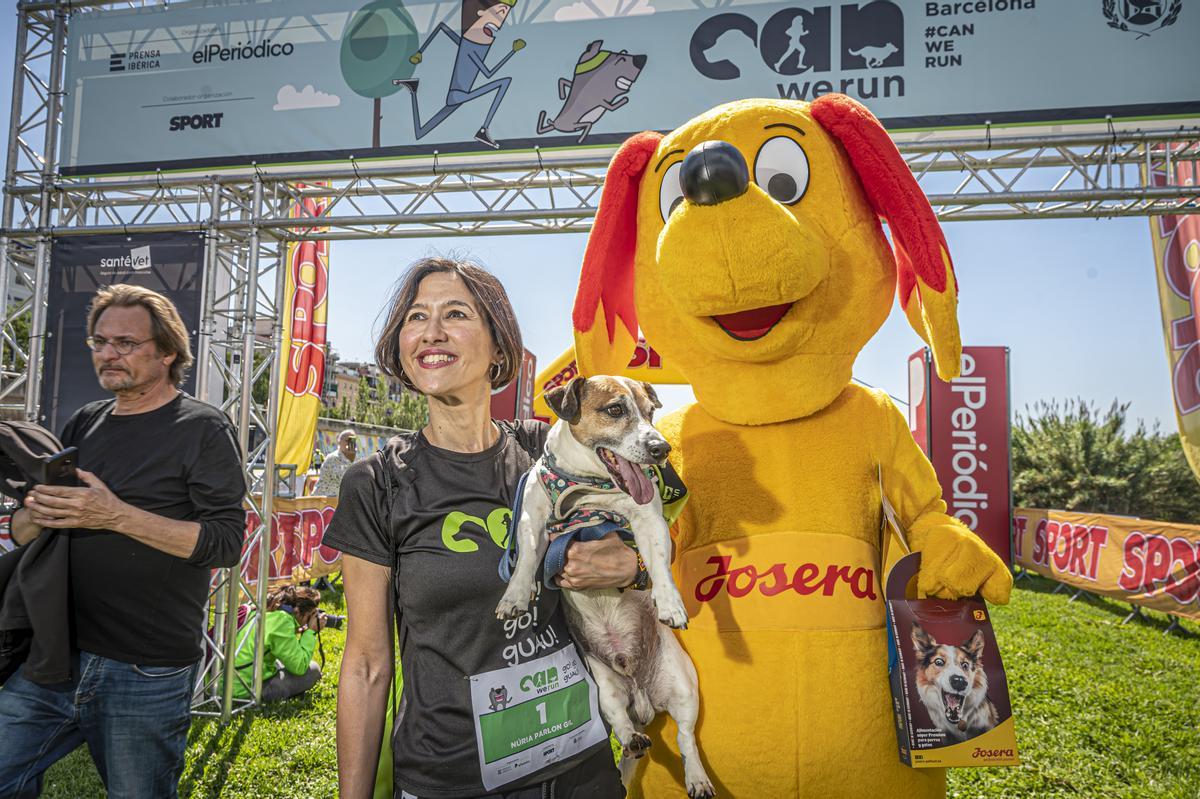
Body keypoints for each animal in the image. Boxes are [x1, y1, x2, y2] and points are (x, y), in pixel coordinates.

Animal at [494, 374, 710, 796]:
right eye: (614, 409)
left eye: (651, 412)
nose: (661, 449)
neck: (586, 489)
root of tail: (642, 697)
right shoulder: (532, 515)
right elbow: (525, 560)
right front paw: (517, 594)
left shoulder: (648, 518)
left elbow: (659, 563)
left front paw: (670, 603)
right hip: (603, 685)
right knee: (622, 725)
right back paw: (633, 739)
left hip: (683, 686)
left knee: (686, 739)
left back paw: (697, 777)